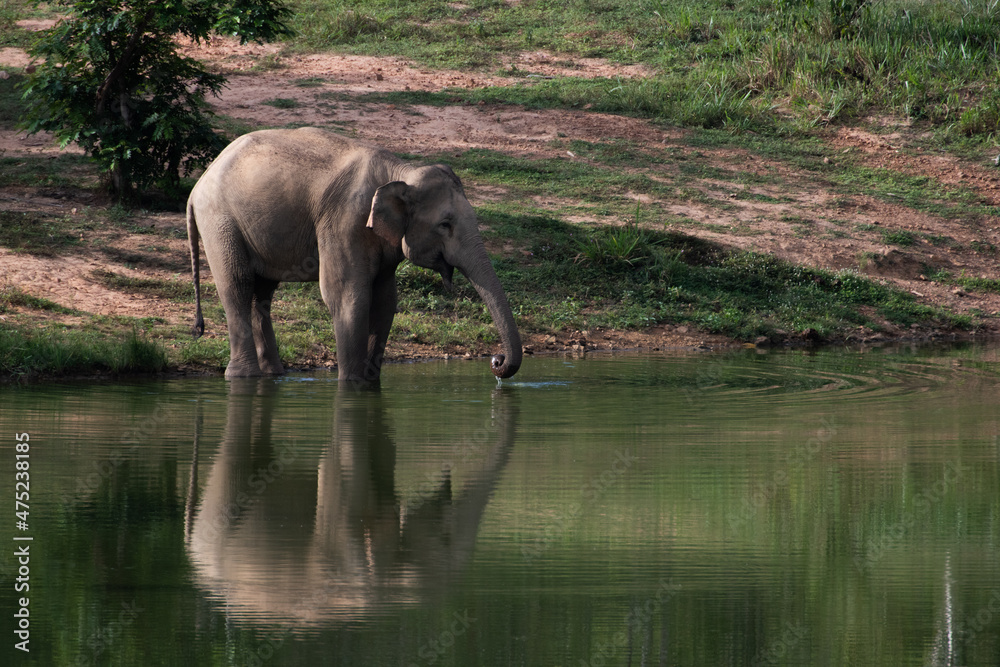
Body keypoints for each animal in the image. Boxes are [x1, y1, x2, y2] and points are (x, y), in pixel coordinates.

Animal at [186, 127, 522, 382]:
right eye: (445, 224)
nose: (496, 360)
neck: (402, 172)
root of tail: (198, 185)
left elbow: (385, 301)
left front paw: (370, 383)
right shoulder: (345, 221)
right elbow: (348, 295)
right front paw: (351, 385)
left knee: (263, 293)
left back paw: (274, 375)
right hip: (220, 220)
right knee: (237, 285)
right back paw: (243, 377)